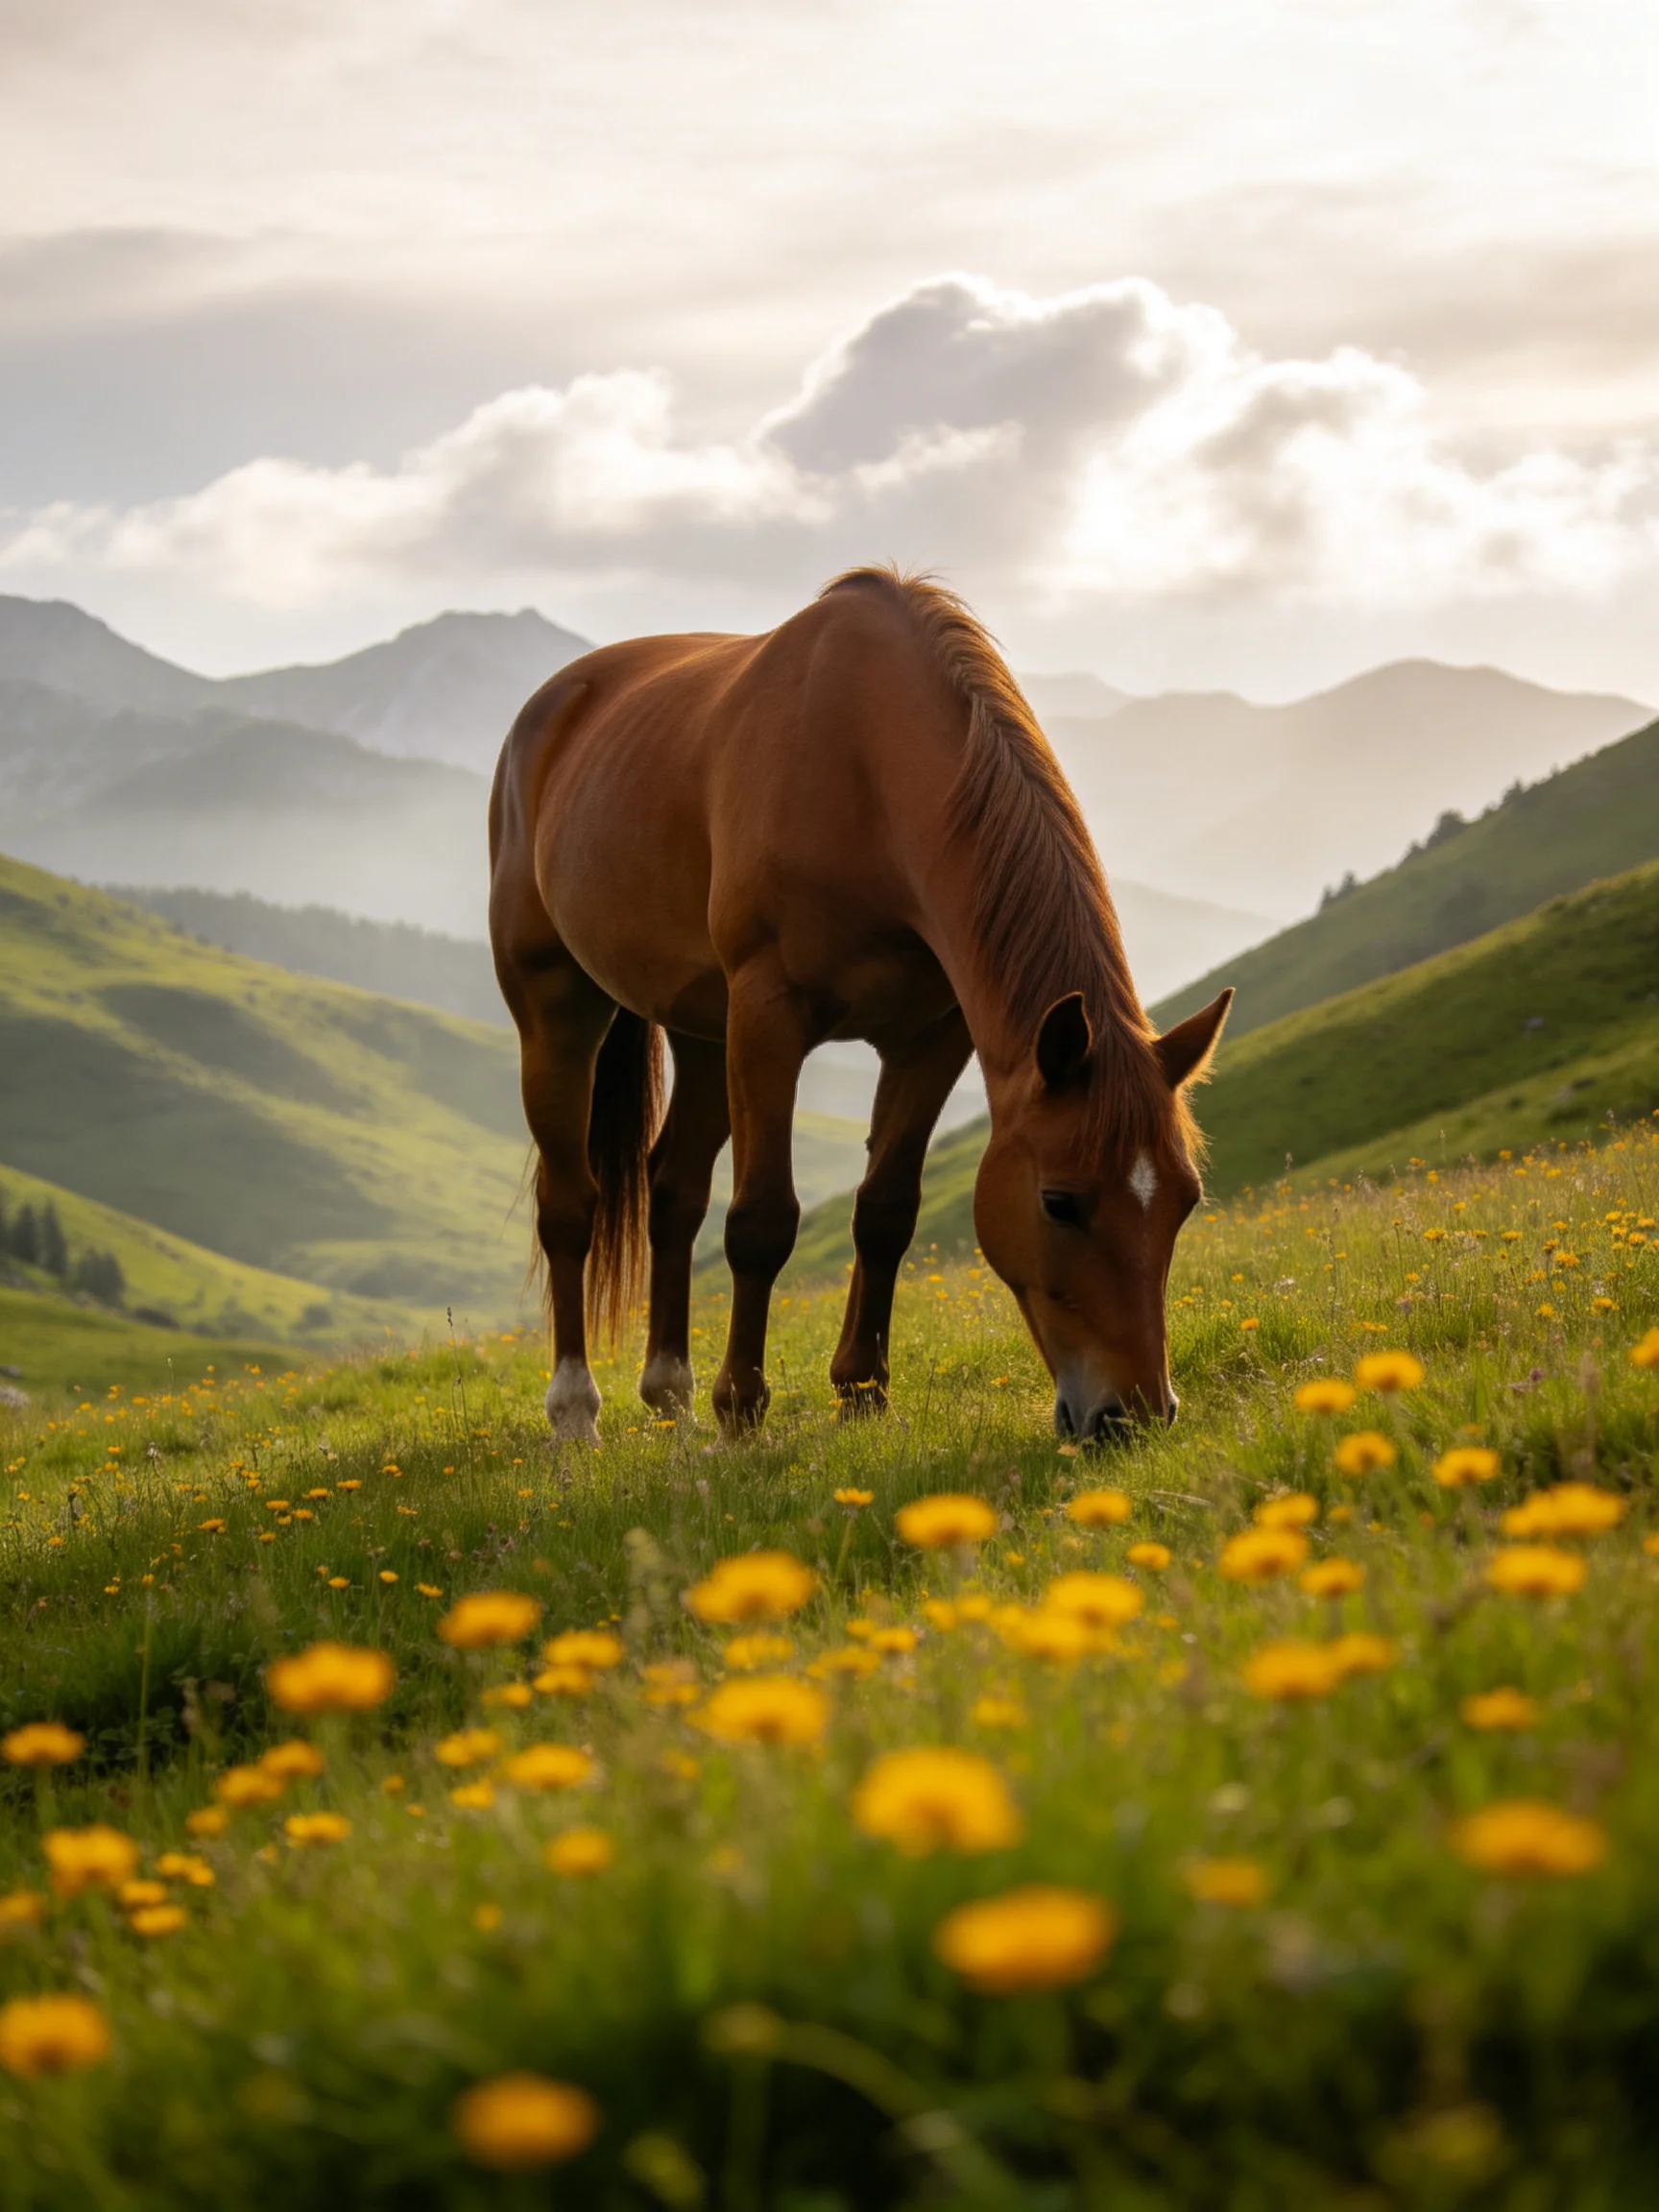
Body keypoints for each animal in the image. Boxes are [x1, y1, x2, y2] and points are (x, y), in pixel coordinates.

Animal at [488, 567, 1231, 1446]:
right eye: (1060, 1202)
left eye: (1185, 1199)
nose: (1135, 1416)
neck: (865, 772)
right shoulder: (769, 1015)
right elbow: (762, 1221)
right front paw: (743, 1409)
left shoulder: (932, 1036)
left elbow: (885, 1211)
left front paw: (862, 1392)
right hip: (558, 1010)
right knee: (569, 1206)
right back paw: (577, 1412)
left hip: (704, 1031)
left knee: (673, 1193)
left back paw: (671, 1397)